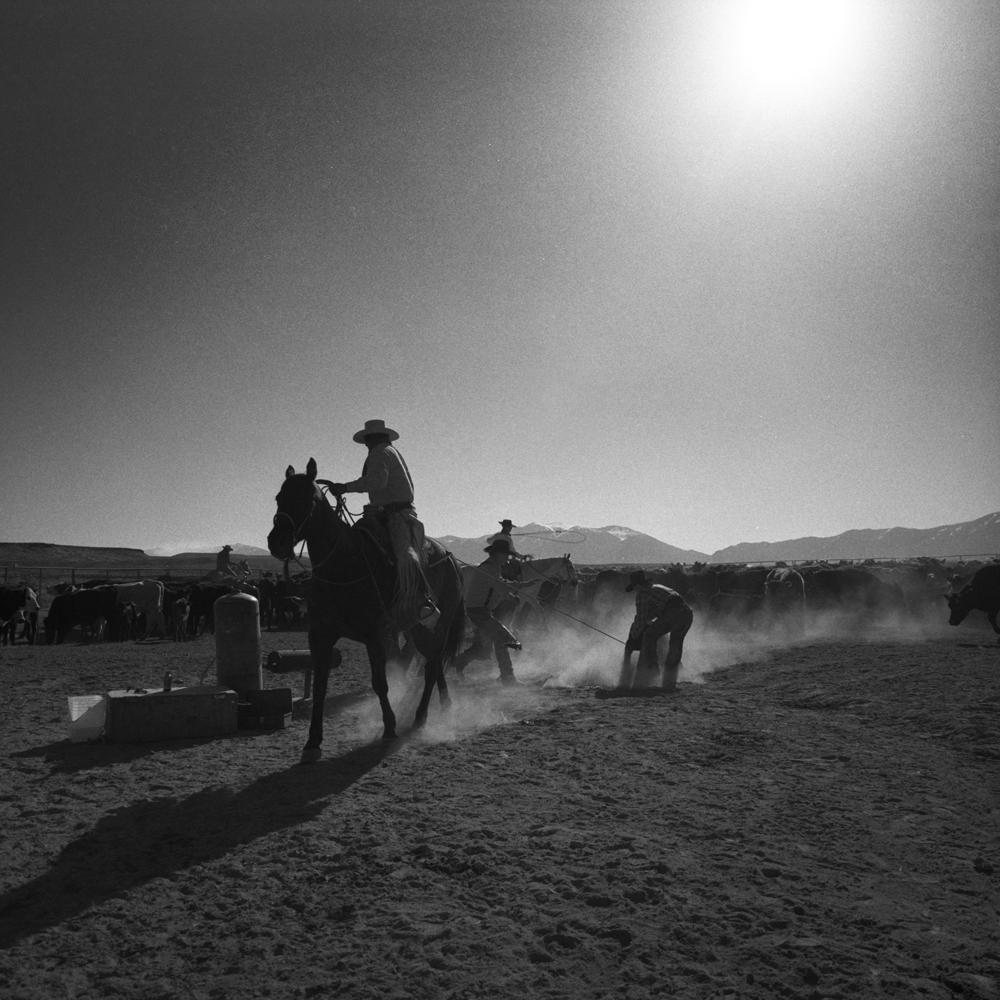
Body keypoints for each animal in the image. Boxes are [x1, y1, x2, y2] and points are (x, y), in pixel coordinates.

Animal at [268, 458, 466, 760]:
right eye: (279, 497)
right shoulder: (320, 636)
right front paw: (313, 741)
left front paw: (390, 727)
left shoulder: (375, 636)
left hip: (440, 623)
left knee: (433, 664)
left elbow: (380, 683)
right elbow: (320, 686)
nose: (277, 542)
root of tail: (450, 557)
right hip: (416, 627)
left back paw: (420, 717)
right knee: (433, 660)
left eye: (308, 499)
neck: (343, 565)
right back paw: (444, 703)